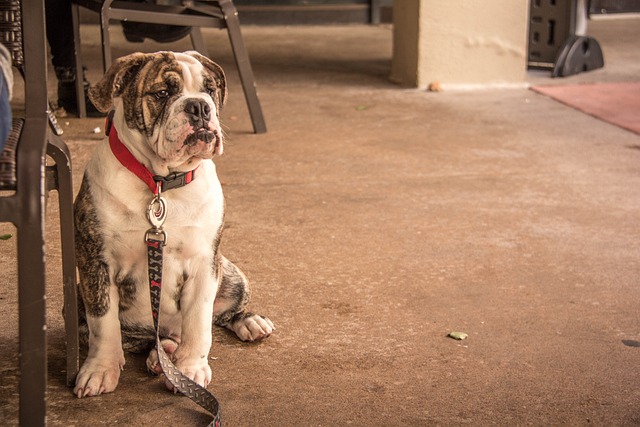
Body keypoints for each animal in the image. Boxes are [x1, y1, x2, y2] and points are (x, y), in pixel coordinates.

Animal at [74, 51, 274, 400]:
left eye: (210, 90)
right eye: (162, 93)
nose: (199, 106)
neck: (160, 182)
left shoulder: (205, 262)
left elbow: (198, 323)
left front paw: (190, 370)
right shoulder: (95, 262)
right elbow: (103, 324)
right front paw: (99, 370)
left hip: (231, 273)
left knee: (220, 316)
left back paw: (248, 323)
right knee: (141, 339)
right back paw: (160, 354)